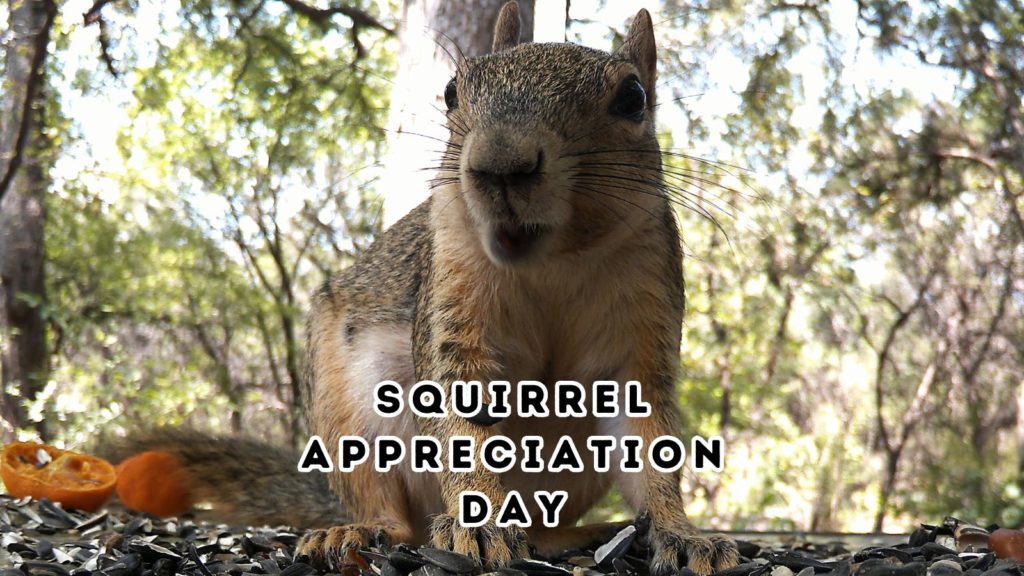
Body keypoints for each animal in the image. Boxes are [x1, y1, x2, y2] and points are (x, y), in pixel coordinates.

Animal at [105, 4, 737, 573]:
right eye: (454, 90)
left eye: (633, 98)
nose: (500, 165)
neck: (552, 261)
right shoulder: (452, 290)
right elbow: (461, 415)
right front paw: (480, 526)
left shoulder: (643, 313)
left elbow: (646, 437)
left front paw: (682, 534)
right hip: (346, 413)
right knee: (393, 516)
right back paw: (359, 532)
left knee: (541, 527)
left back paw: (585, 533)